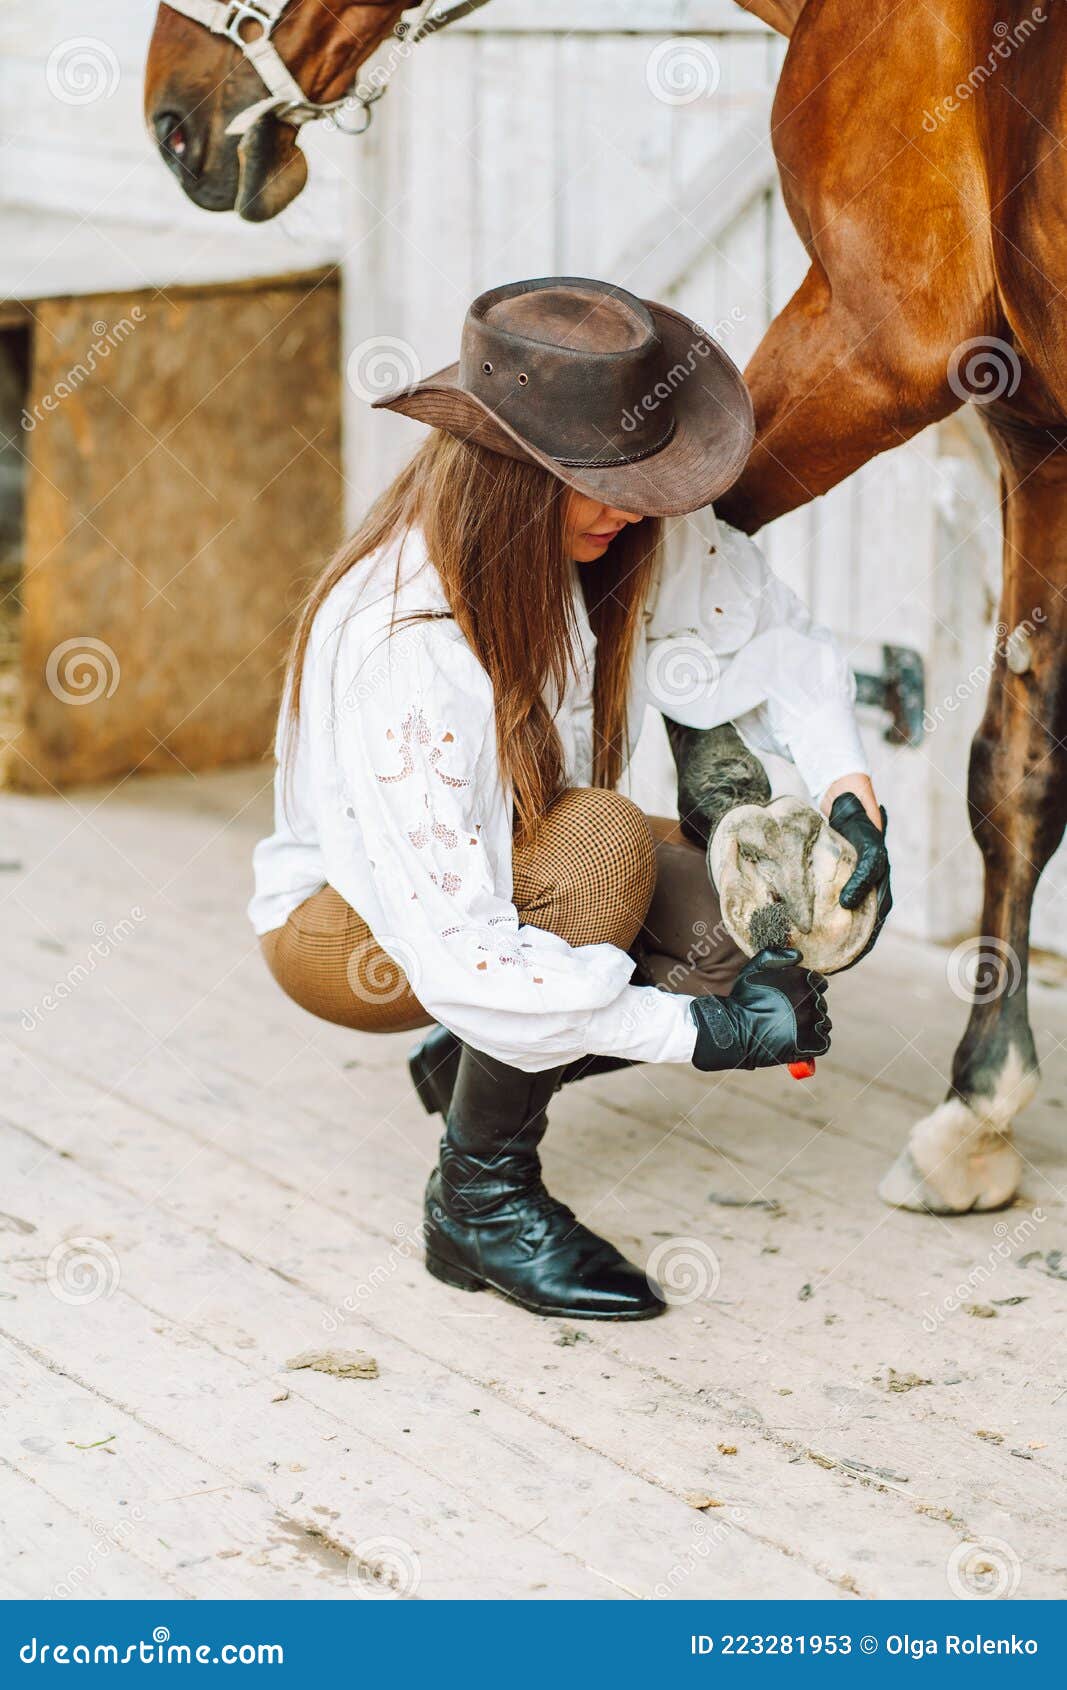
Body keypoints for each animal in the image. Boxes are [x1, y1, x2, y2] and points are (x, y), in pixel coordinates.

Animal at [147, 0, 1067, 1216]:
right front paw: (976, 1109)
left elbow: (696, 531)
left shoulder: (885, 340)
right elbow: (1017, 769)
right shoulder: (1040, 437)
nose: (173, 125)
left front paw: (754, 835)